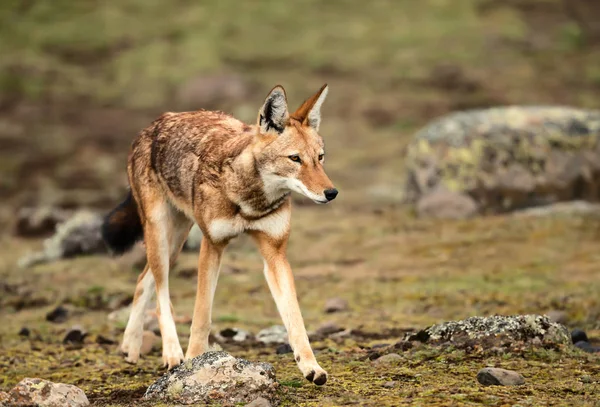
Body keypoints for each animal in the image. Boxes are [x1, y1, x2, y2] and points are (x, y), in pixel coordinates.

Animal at [102, 83, 338, 386]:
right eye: (295, 159)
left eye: (319, 158)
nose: (331, 193)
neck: (250, 199)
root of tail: (155, 123)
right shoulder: (212, 244)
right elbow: (202, 316)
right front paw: (193, 362)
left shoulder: (275, 253)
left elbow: (295, 320)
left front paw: (311, 367)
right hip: (160, 235)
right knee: (161, 293)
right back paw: (172, 353)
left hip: (176, 241)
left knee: (144, 280)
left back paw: (130, 347)